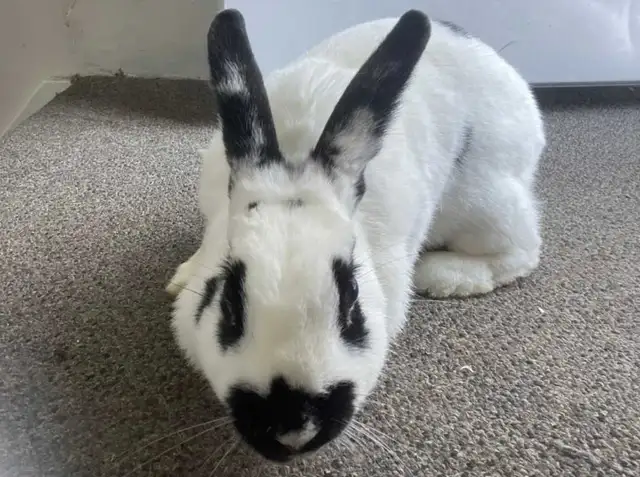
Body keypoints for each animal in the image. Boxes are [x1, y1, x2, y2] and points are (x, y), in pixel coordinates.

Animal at [167, 8, 545, 463]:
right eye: (227, 305)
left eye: (352, 303)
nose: (294, 431)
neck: (295, 151)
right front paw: (182, 277)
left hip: (482, 201)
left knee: (523, 248)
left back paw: (439, 275)